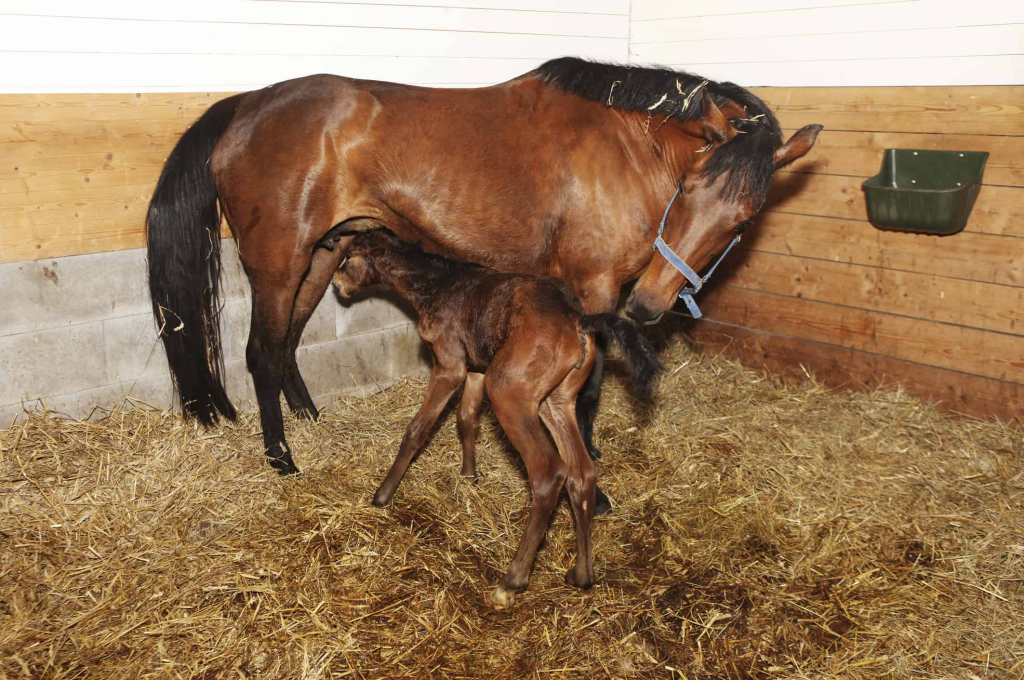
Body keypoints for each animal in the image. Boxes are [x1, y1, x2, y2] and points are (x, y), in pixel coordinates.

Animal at [146, 57, 821, 478]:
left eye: (743, 219)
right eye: (690, 187)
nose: (651, 304)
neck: (628, 147)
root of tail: (247, 104)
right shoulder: (595, 289)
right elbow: (590, 387)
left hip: (322, 254)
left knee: (286, 343)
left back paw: (310, 421)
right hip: (279, 265)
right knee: (262, 352)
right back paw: (283, 458)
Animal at [331, 228, 662, 605]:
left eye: (348, 257)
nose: (336, 284)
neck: (437, 282)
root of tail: (577, 319)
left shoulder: (450, 365)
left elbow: (418, 429)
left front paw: (383, 495)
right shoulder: (477, 369)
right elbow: (466, 419)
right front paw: (469, 476)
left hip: (508, 391)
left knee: (550, 472)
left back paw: (512, 581)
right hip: (555, 400)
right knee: (582, 472)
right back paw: (581, 574)